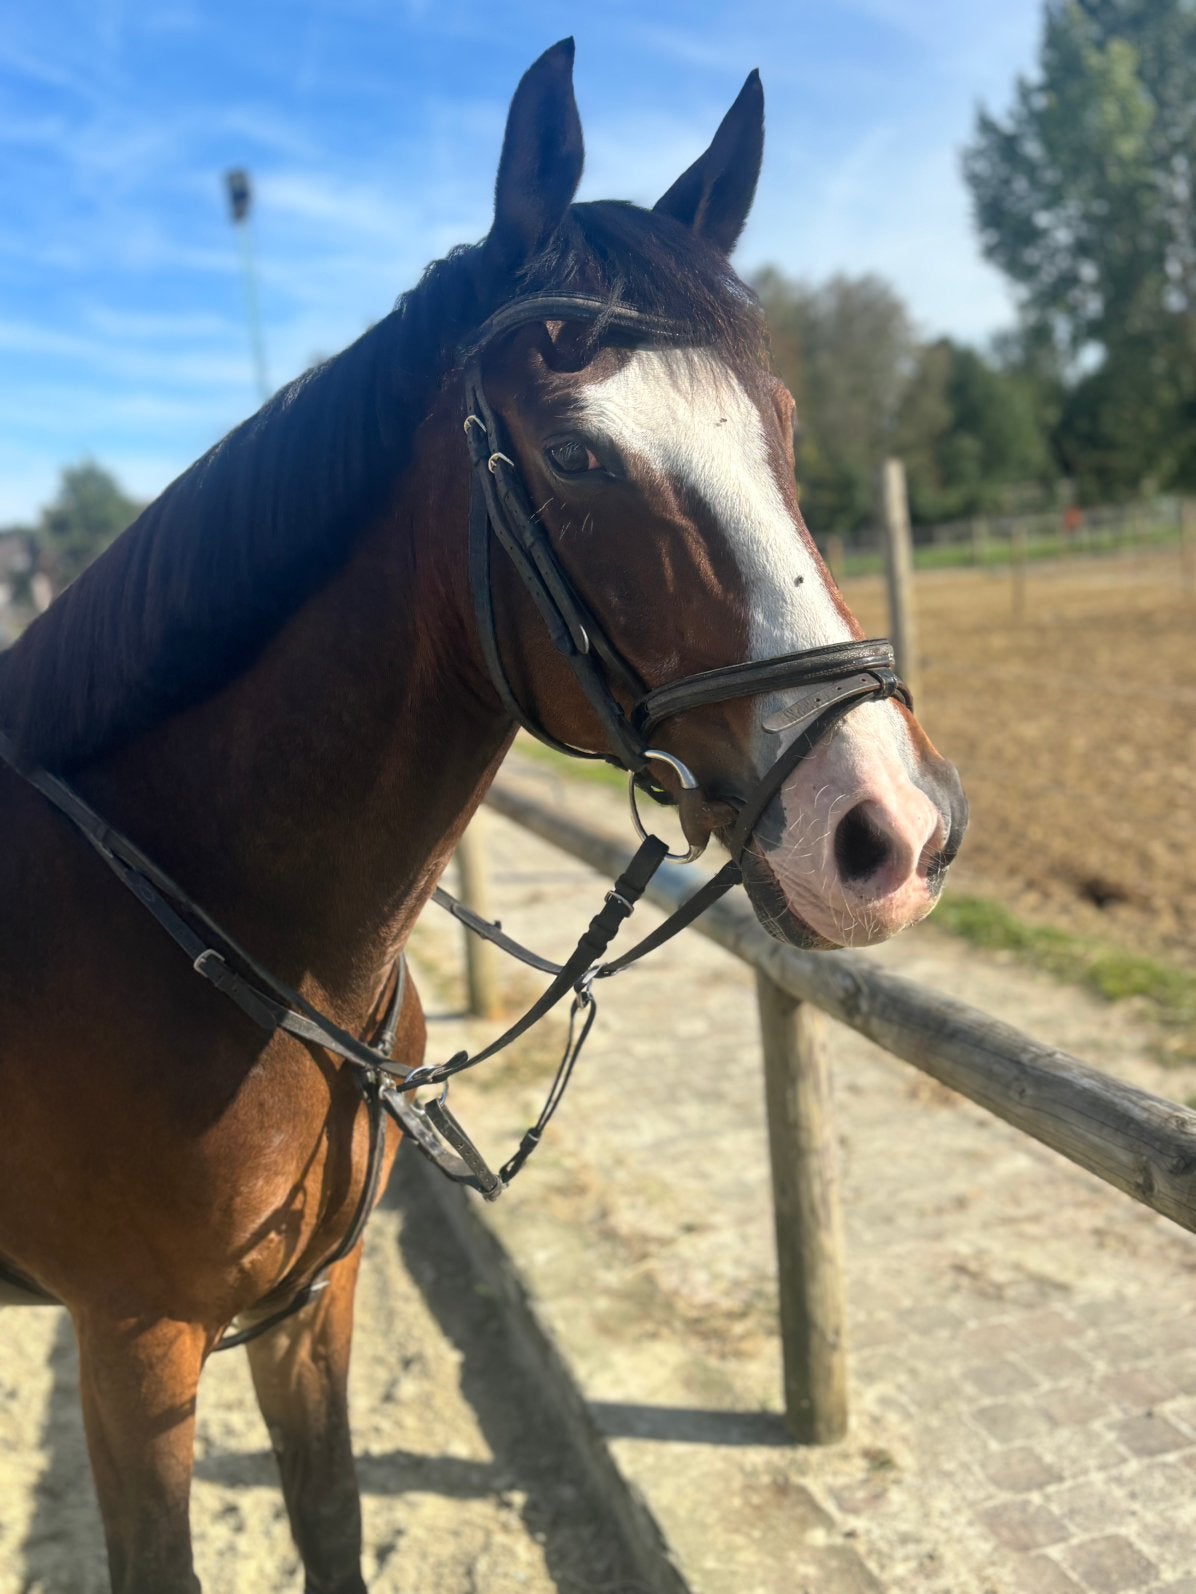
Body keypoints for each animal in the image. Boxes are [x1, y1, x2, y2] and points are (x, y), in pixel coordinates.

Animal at [0, 39, 966, 1594]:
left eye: (782, 427)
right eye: (573, 458)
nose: (891, 830)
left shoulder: (309, 1307)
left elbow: (334, 1526)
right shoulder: (133, 1353)